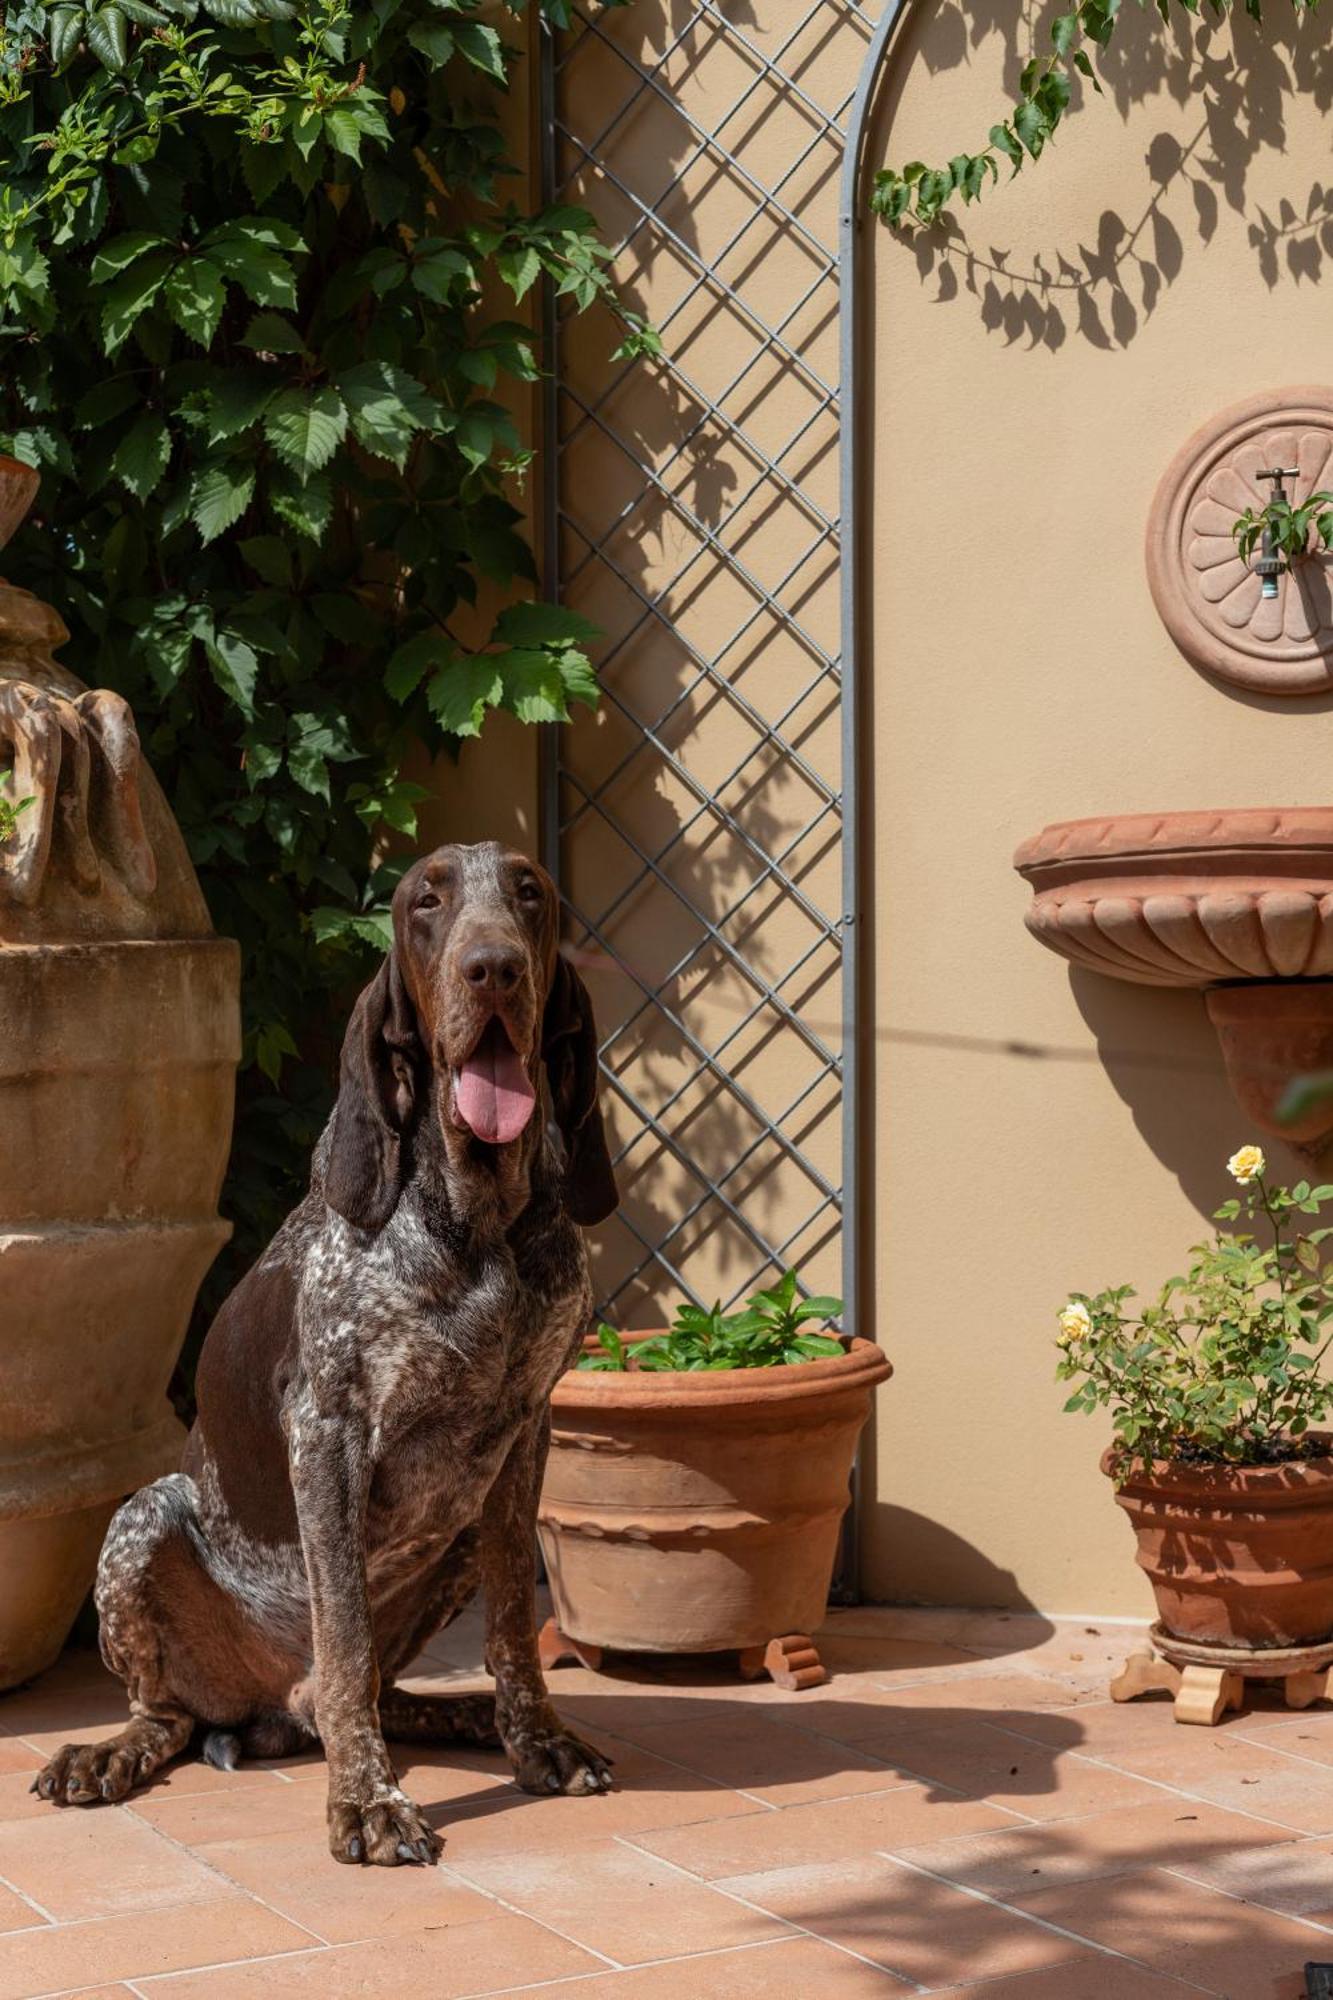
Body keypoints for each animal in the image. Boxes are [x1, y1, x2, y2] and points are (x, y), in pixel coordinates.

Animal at [35, 840, 616, 1856]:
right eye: (426, 901)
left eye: (530, 894)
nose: (493, 969)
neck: (478, 1224)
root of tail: (278, 1709)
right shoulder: (328, 1435)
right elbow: (342, 1636)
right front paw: (369, 1800)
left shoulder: (523, 1437)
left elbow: (514, 1618)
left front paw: (535, 1738)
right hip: (145, 1520)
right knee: (176, 1712)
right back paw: (108, 1754)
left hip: (456, 1530)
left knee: (386, 1689)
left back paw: (466, 1716)